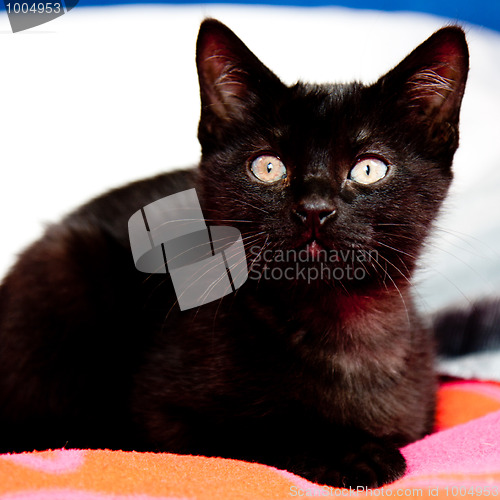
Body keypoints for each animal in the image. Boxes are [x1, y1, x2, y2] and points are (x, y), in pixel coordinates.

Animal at [0, 20, 468, 488]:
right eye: (268, 167)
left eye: (369, 169)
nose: (314, 209)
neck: (340, 325)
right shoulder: (163, 415)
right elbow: (260, 429)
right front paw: (353, 453)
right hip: (62, 265)